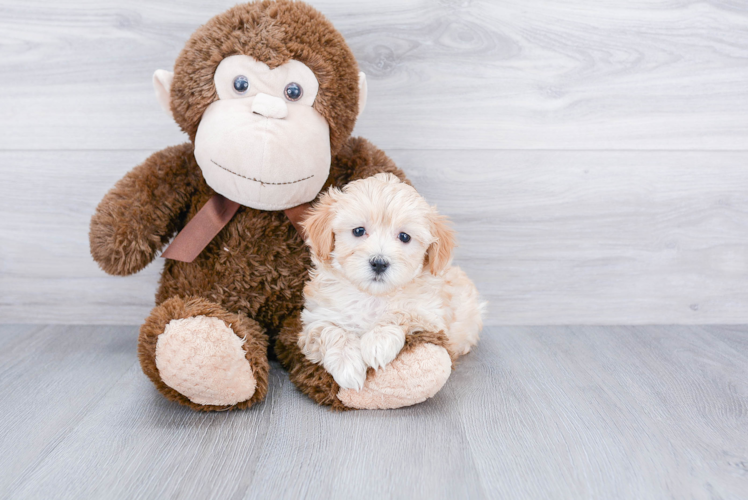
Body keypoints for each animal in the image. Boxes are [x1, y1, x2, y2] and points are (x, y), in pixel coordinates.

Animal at [298, 174, 486, 392]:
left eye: (404, 237)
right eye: (358, 231)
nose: (379, 263)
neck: (372, 296)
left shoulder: (431, 316)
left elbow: (402, 313)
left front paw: (377, 342)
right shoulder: (314, 319)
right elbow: (330, 330)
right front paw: (347, 365)